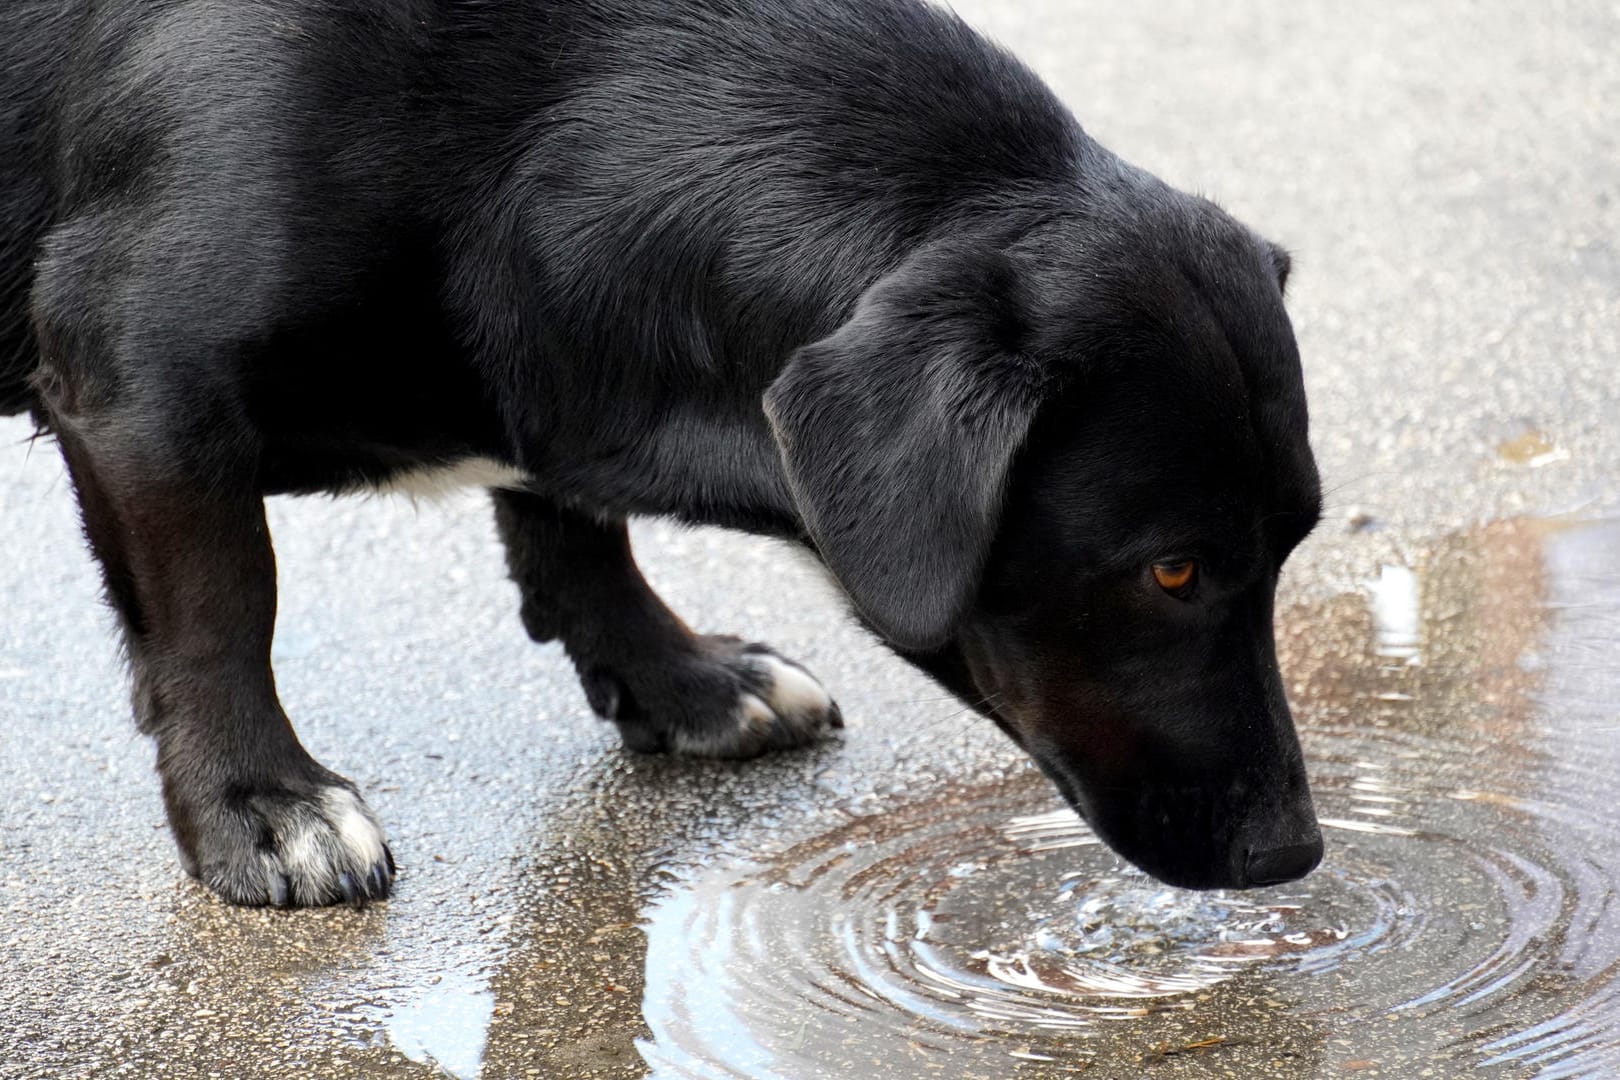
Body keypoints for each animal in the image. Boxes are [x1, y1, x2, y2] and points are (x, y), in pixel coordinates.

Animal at [0, 0, 1321, 906]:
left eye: (1293, 544)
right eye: (1170, 573)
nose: (1294, 851)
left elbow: (573, 521)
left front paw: (681, 678)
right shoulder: (135, 381)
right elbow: (223, 606)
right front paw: (261, 804)